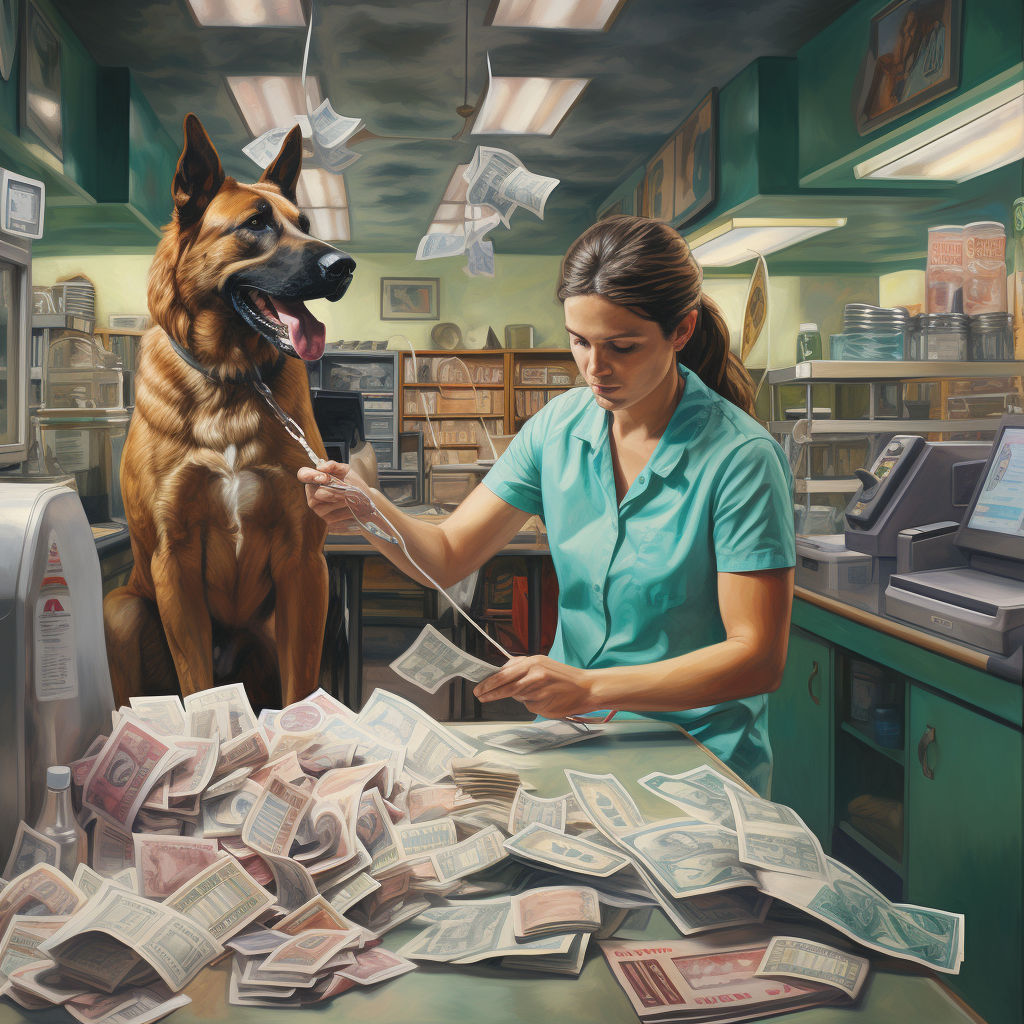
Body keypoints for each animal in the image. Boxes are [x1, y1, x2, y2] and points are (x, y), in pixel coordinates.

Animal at [101, 110, 354, 704]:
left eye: (305, 222)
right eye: (255, 224)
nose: (345, 265)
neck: (233, 382)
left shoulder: (305, 564)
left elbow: (301, 688)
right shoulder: (173, 562)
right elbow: (195, 688)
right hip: (121, 610)